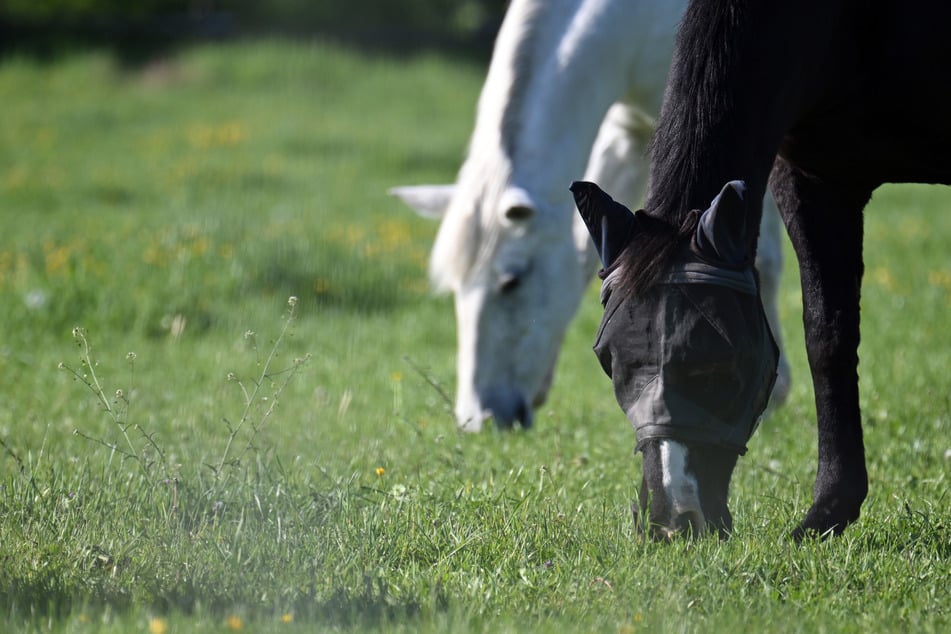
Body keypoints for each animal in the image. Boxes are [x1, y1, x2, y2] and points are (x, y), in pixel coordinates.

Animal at [573, 0, 951, 540]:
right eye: (609, 360)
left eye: (722, 364)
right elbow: (827, 338)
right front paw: (829, 510)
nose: (673, 521)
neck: (848, 25)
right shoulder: (812, 179)